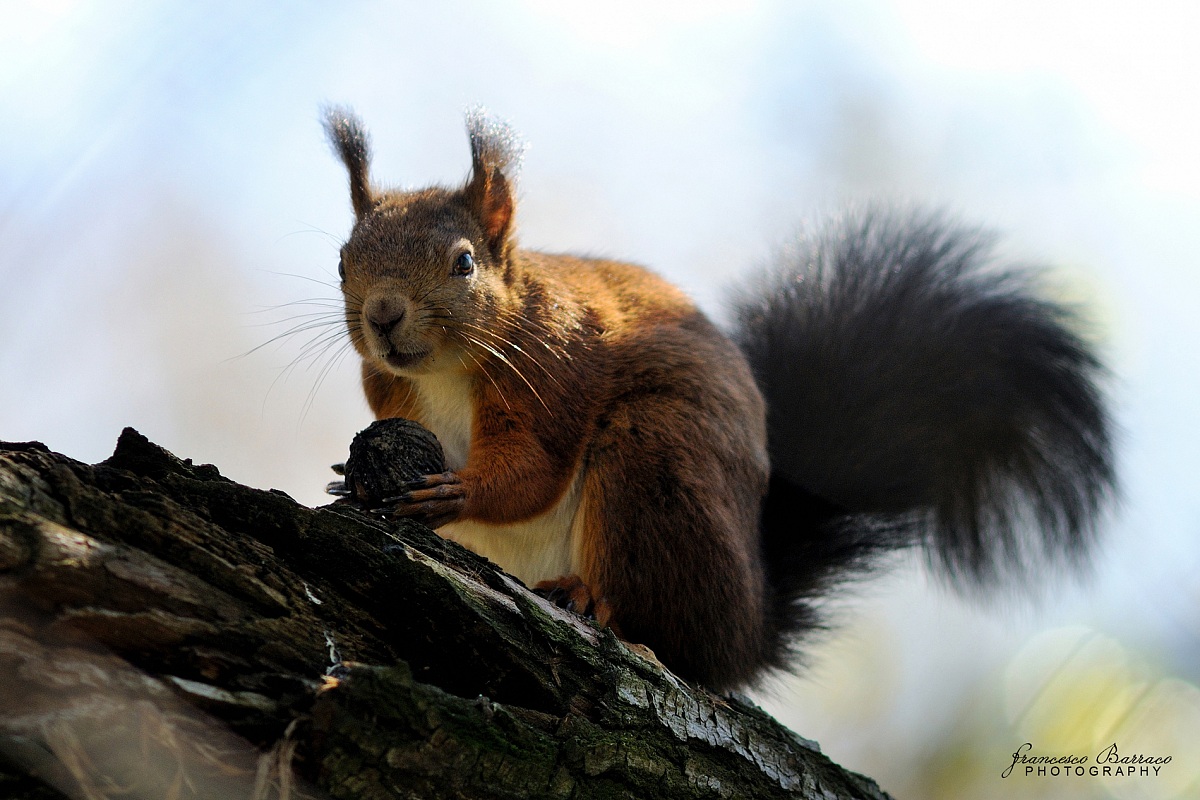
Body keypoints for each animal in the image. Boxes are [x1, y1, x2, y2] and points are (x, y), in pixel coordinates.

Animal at [320, 106, 1115, 691]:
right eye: (342, 261)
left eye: (463, 263)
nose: (383, 314)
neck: (445, 373)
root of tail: (751, 626)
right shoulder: (389, 391)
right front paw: (352, 477)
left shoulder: (554, 370)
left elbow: (532, 471)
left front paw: (457, 490)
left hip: (653, 460)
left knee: (667, 624)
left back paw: (592, 599)